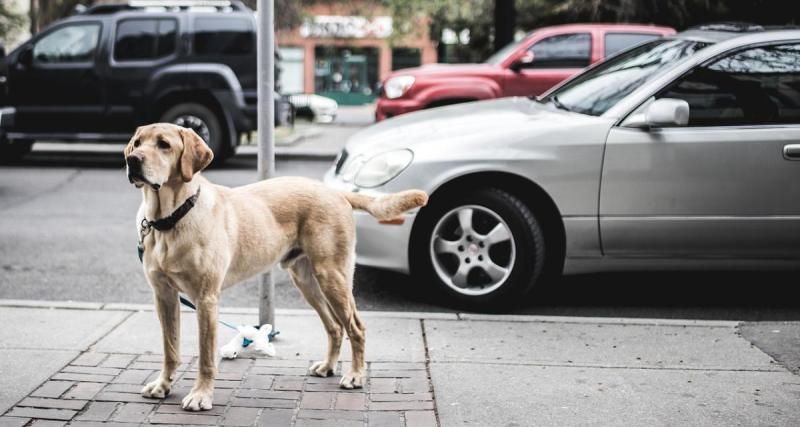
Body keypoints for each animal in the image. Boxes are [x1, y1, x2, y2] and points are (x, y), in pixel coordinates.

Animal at [125, 123, 428, 412]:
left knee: (355, 327)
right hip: (307, 281)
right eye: (137, 143)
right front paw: (163, 385)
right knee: (334, 327)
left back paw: (355, 375)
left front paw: (201, 395)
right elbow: (170, 348)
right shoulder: (164, 296)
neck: (169, 219)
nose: (132, 160)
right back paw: (328, 367)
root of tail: (335, 192)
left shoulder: (206, 299)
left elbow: (206, 356)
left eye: (164, 144)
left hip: (333, 276)